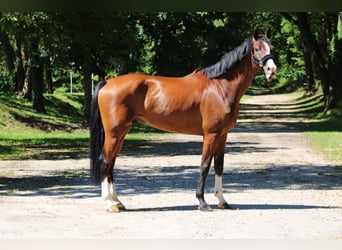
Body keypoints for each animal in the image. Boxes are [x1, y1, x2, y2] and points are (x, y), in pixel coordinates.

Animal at [89, 29, 276, 213]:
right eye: (257, 49)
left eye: (272, 47)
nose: (271, 69)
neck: (220, 87)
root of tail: (107, 82)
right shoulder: (211, 135)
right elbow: (204, 165)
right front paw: (202, 202)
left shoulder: (223, 135)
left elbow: (219, 166)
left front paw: (222, 201)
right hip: (114, 133)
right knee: (105, 161)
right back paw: (110, 203)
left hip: (121, 133)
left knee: (111, 163)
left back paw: (117, 202)